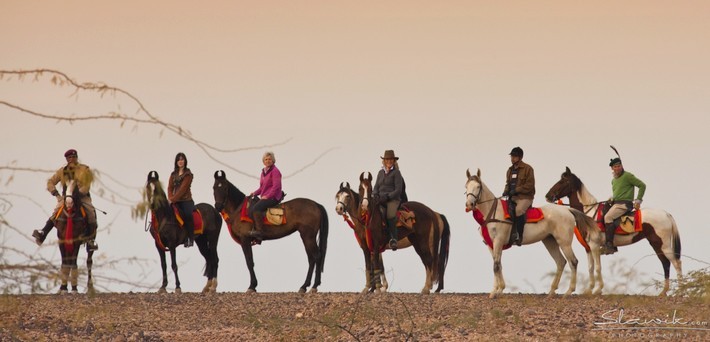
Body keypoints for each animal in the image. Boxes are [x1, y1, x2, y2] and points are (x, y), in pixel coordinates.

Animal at [464, 170, 596, 298]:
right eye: (466, 186)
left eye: (478, 186)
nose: (469, 204)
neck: (493, 212)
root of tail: (567, 210)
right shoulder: (490, 244)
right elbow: (497, 265)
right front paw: (494, 290)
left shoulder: (498, 241)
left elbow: (496, 266)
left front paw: (498, 291)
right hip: (550, 241)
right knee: (560, 262)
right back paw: (551, 292)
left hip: (564, 243)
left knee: (573, 262)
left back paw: (568, 292)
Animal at [544, 167, 684, 296]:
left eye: (563, 181)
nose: (548, 196)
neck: (587, 215)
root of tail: (666, 214)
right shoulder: (588, 248)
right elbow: (591, 268)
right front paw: (589, 290)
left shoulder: (595, 246)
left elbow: (598, 268)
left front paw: (598, 290)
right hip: (656, 244)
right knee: (666, 263)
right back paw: (664, 292)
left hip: (663, 244)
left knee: (676, 262)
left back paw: (680, 291)